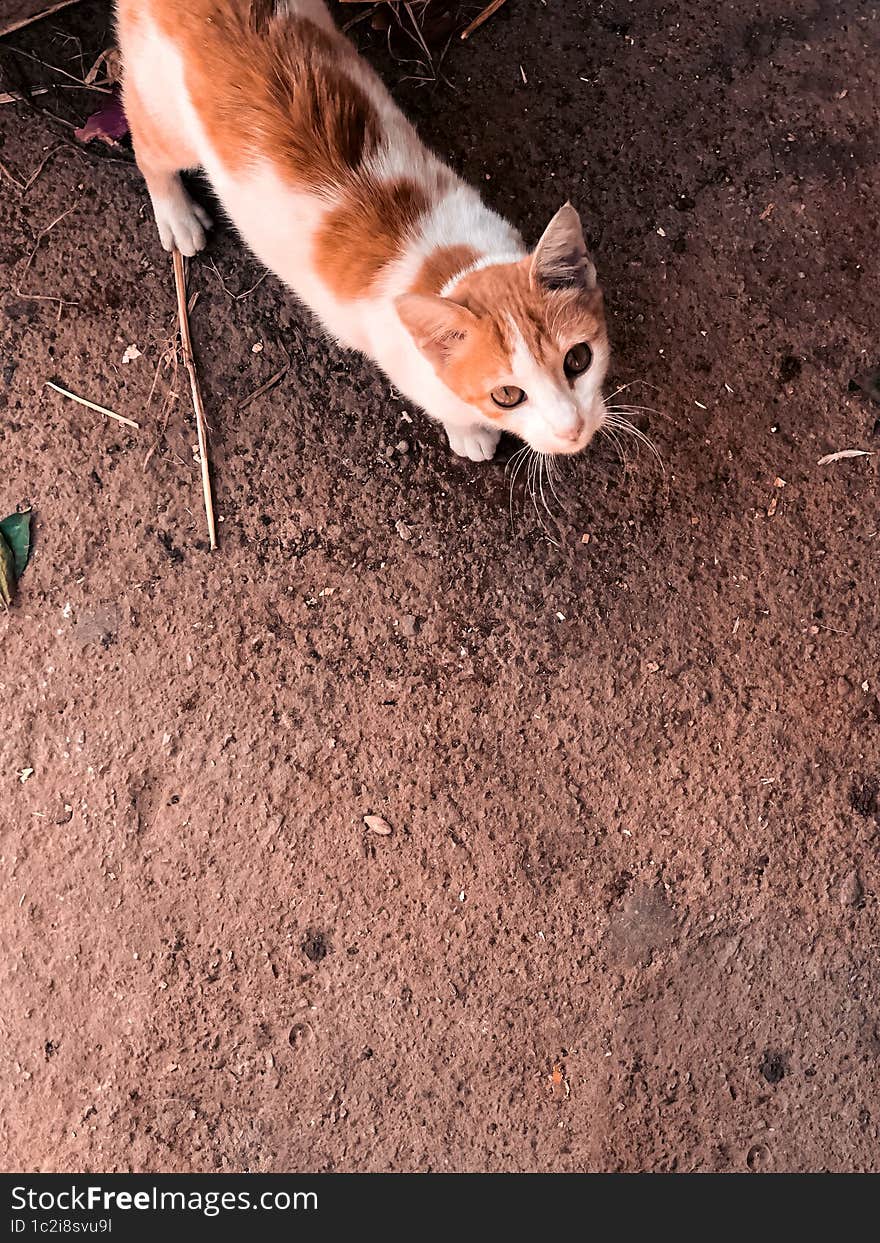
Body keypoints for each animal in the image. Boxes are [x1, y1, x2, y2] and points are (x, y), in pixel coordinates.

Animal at [114, 0, 611, 462]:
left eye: (578, 360)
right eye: (507, 395)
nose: (572, 430)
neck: (450, 261)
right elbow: (446, 407)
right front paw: (470, 433)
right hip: (163, 109)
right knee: (148, 147)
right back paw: (177, 216)